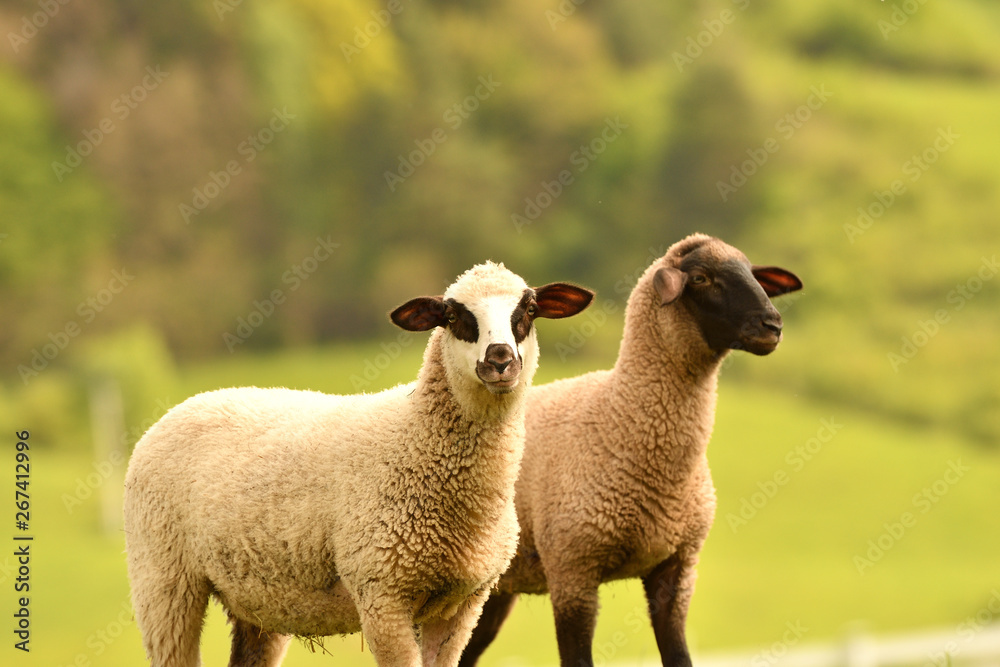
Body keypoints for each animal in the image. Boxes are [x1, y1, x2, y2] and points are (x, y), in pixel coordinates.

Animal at [122, 261, 594, 667]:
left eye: (528, 310)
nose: (500, 360)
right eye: (452, 316)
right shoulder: (382, 593)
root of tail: (185, 404)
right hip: (163, 579)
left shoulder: (462, 605)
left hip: (255, 598)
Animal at [458, 235, 803, 667]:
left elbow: (679, 657)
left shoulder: (676, 569)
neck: (621, 416)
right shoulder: (573, 572)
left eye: (754, 273)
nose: (773, 326)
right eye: (701, 278)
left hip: (494, 591)